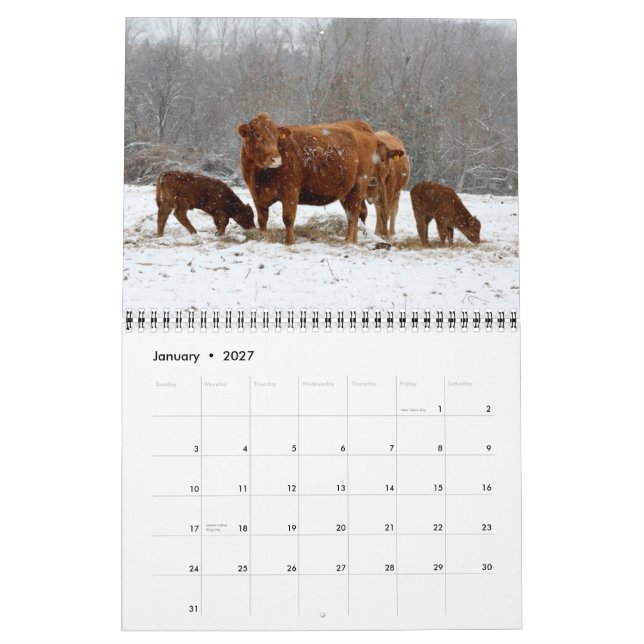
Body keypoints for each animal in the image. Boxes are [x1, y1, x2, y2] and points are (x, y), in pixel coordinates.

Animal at [237, 112, 403, 245]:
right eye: (257, 134)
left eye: (277, 137)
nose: (276, 159)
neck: (259, 176)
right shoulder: (257, 196)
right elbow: (262, 220)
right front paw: (263, 238)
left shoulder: (290, 191)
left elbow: (288, 218)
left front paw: (290, 242)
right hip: (347, 190)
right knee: (357, 213)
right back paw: (354, 239)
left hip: (359, 185)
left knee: (354, 214)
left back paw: (348, 240)